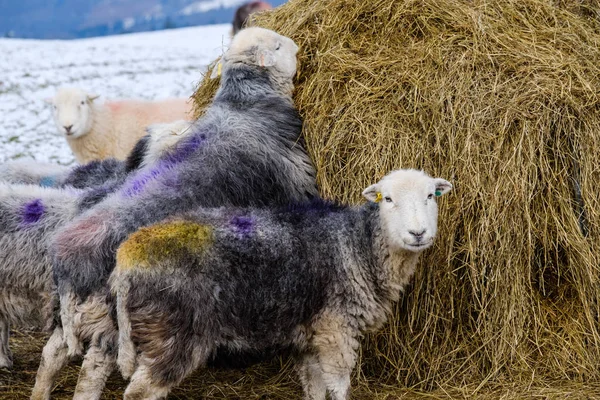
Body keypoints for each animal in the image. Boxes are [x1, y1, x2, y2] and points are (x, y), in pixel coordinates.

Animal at [111, 169, 450, 400]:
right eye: (388, 199)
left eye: (430, 196)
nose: (418, 233)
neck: (359, 242)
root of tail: (127, 255)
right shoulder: (336, 328)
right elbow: (339, 387)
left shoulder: (312, 335)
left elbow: (315, 388)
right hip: (174, 330)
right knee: (140, 392)